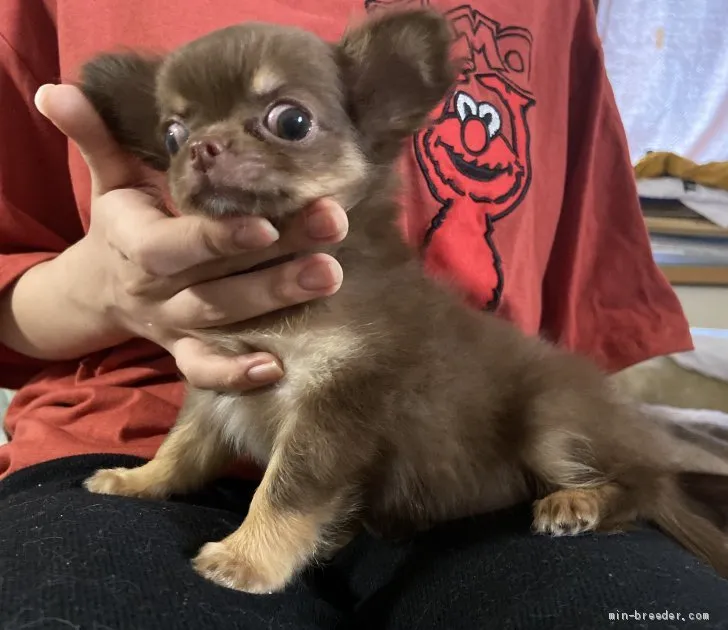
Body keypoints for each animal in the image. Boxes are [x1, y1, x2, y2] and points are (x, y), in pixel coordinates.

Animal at [81, 7, 728, 596]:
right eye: (172, 135)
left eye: (291, 120)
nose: (201, 148)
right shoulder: (219, 387)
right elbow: (182, 447)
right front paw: (139, 479)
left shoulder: (336, 404)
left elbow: (286, 488)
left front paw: (247, 557)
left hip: (552, 423)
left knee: (644, 488)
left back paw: (579, 504)